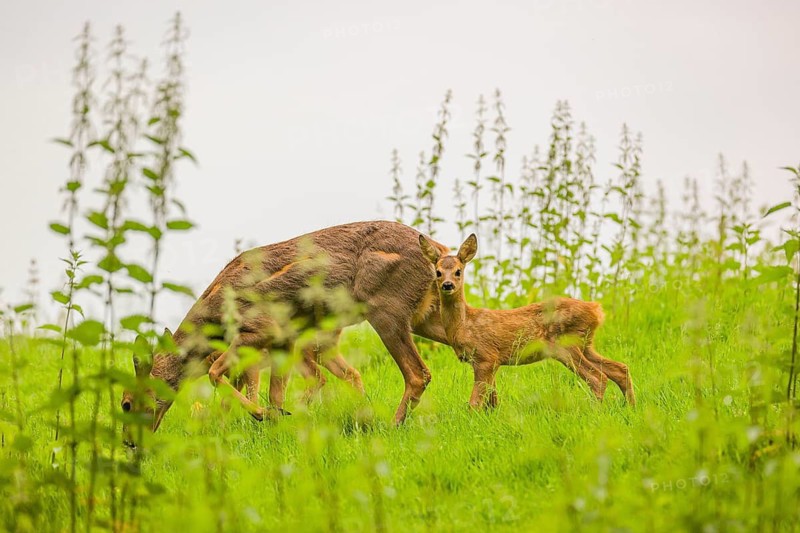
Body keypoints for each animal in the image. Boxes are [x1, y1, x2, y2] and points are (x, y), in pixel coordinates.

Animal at [121, 221, 452, 441]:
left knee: (417, 373)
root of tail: (439, 249)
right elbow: (276, 393)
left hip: (386, 311)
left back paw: (391, 426)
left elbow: (218, 376)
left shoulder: (260, 331)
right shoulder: (284, 341)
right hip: (426, 315)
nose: (128, 442)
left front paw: (263, 416)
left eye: (125, 403)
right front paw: (275, 422)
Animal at [419, 233, 635, 409]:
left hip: (566, 344)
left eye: (458, 271)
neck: (464, 325)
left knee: (598, 378)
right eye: (438, 272)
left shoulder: (486, 357)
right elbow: (490, 401)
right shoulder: (487, 362)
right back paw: (630, 408)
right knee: (620, 369)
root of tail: (596, 310)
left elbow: (474, 403)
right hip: (585, 344)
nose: (447, 285)